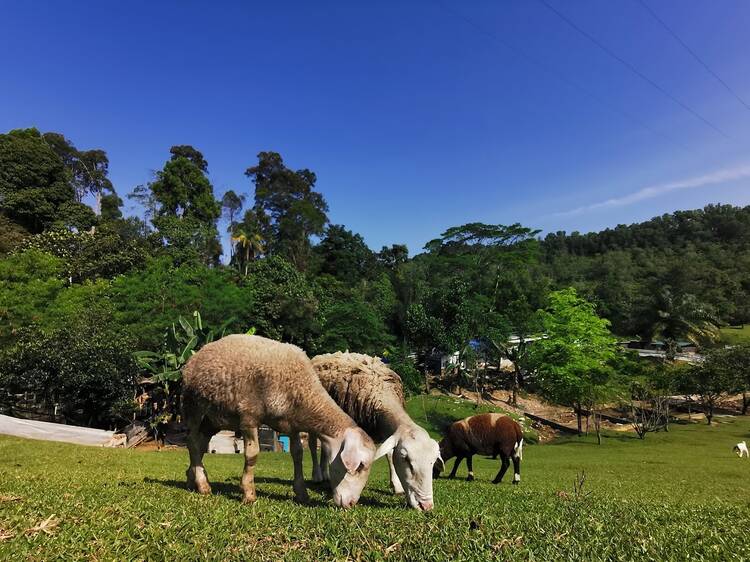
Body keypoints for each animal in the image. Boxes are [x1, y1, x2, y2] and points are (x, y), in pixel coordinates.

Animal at [180, 332, 378, 508]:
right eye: (360, 466)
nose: (351, 504)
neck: (303, 390)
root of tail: (197, 353)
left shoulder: (292, 425)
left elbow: (297, 454)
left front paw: (301, 493)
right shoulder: (248, 416)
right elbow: (252, 455)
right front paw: (248, 493)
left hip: (213, 418)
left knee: (201, 443)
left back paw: (192, 478)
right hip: (194, 406)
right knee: (192, 442)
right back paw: (203, 484)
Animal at [308, 352, 444, 510]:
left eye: (433, 462)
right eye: (406, 460)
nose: (426, 506)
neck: (379, 391)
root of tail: (322, 355)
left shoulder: (386, 432)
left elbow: (390, 455)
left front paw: (396, 486)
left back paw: (325, 474)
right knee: (312, 445)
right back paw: (317, 475)